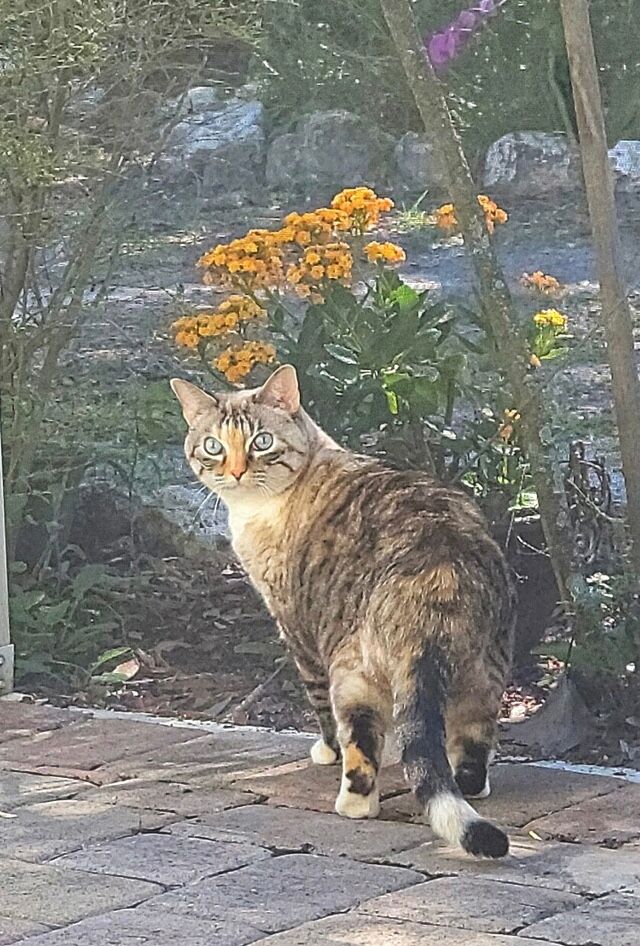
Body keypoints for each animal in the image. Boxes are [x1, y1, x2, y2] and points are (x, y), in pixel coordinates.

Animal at [171, 364, 516, 856]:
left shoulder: (296, 628)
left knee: (360, 749)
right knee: (470, 750)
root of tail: (439, 576)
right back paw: (466, 777)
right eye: (214, 446)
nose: (236, 472)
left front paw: (325, 752)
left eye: (262, 442)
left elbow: (320, 710)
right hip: (486, 669)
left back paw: (353, 801)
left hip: (351, 674)